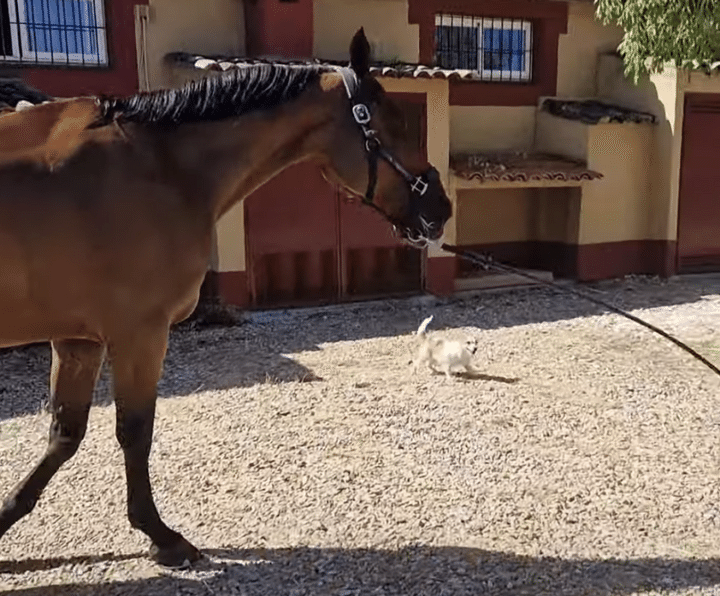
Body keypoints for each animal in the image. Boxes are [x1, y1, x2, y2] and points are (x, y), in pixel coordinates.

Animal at [0, 28, 452, 567]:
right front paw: (162, 535)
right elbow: (135, 431)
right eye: (395, 123)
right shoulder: (138, 333)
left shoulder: (78, 339)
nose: (441, 207)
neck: (159, 167)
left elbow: (65, 435)